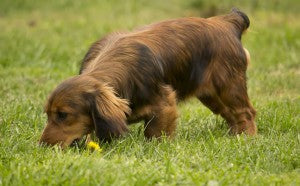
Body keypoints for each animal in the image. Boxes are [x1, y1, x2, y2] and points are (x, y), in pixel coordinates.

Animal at [39, 8, 255, 148]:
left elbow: (154, 133)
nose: (42, 146)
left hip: (228, 86)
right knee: (231, 115)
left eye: (63, 115)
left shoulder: (164, 104)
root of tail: (227, 21)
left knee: (246, 112)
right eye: (48, 114)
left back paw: (247, 138)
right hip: (211, 96)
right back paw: (233, 136)